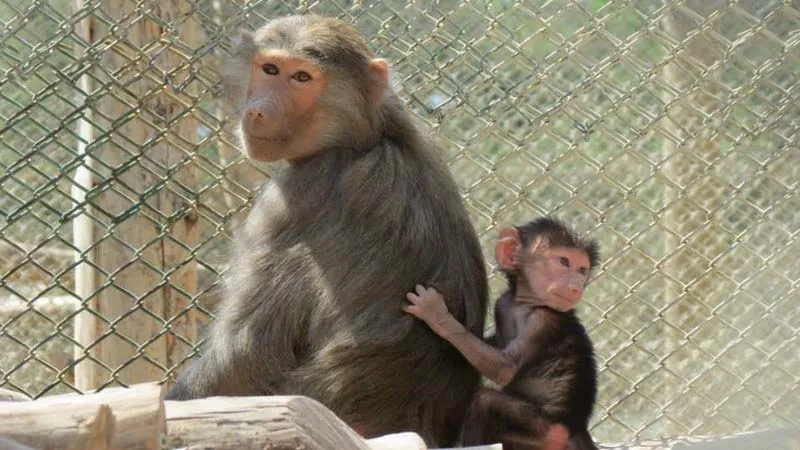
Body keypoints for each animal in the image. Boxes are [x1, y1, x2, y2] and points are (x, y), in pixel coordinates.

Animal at [165, 15, 488, 447]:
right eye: (270, 69)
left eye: (302, 77)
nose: (259, 112)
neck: (370, 137)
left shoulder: (296, 192)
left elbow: (243, 358)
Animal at [404, 217, 599, 450]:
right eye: (564, 262)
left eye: (582, 270)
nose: (576, 286)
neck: (525, 303)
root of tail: (576, 428)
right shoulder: (503, 304)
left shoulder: (545, 320)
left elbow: (506, 367)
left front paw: (437, 314)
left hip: (549, 432)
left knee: (485, 403)